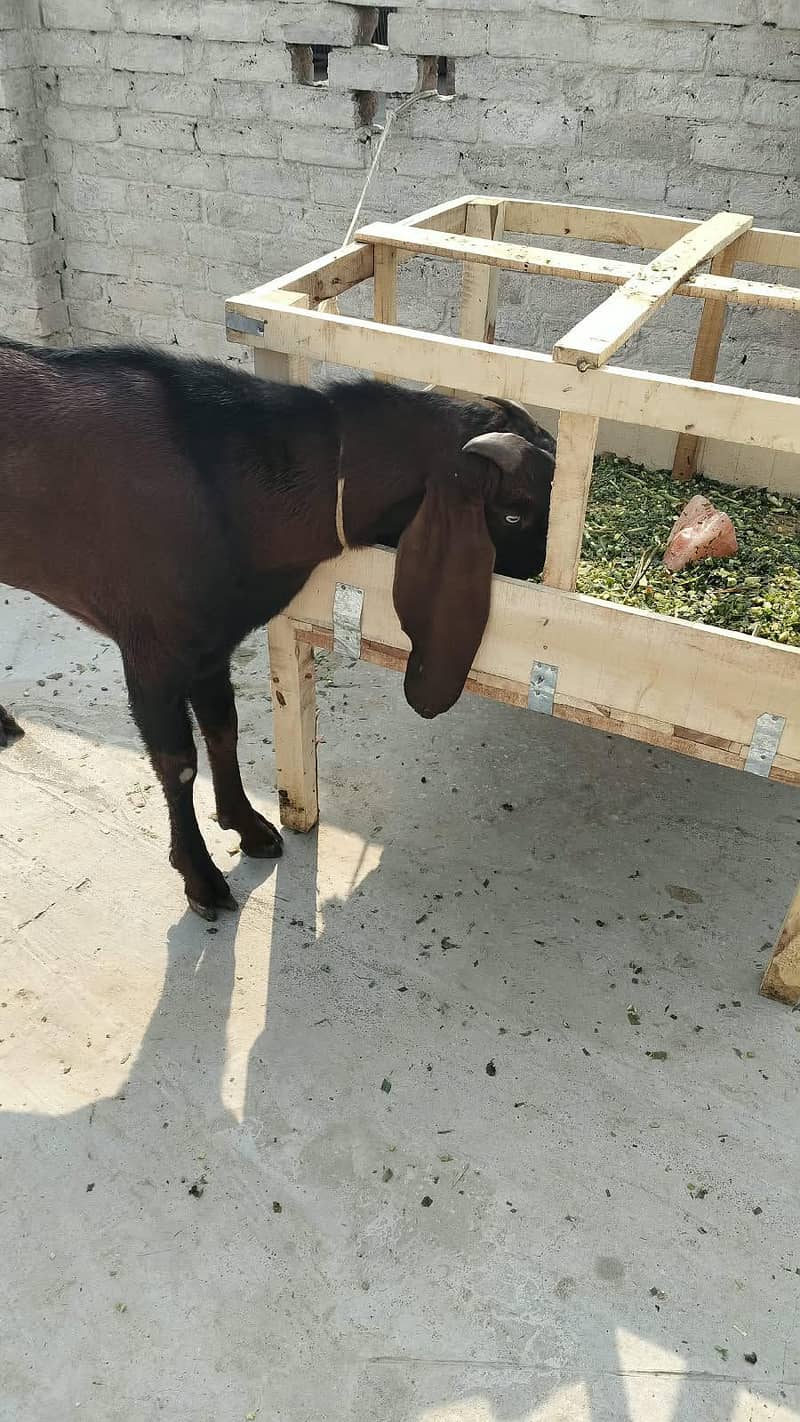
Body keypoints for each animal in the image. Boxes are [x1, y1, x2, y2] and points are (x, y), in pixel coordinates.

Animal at [0, 340, 555, 918]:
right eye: (514, 513)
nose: (538, 572)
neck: (225, 488)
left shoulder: (212, 644)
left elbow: (224, 729)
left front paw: (248, 827)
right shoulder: (151, 652)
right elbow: (179, 764)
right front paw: (200, 878)